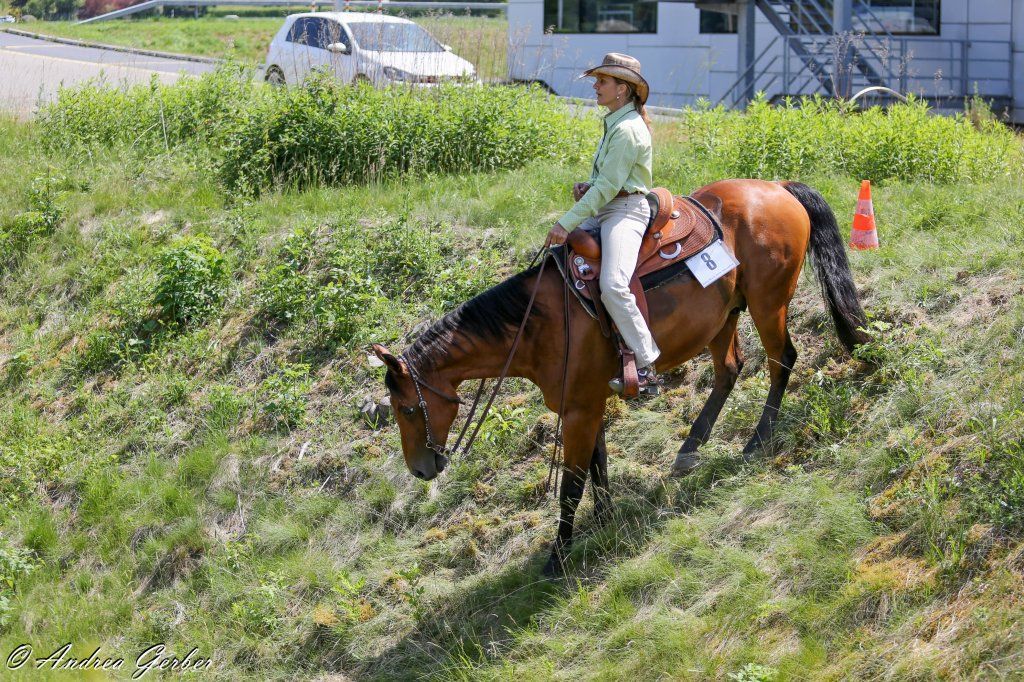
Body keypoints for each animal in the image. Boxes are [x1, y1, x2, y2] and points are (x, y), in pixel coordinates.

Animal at [372, 179, 869, 576]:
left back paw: (758, 439)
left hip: (768, 304)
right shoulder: (587, 403)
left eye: (408, 408)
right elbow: (599, 467)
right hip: (724, 316)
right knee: (729, 370)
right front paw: (605, 521)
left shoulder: (579, 410)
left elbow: (572, 484)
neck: (538, 324)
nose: (420, 469)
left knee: (781, 359)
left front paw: (558, 557)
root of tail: (778, 187)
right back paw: (690, 448)